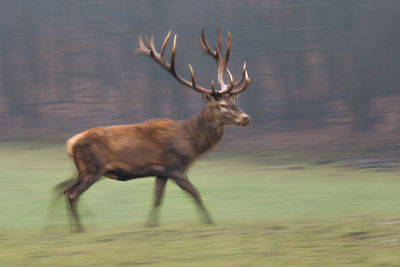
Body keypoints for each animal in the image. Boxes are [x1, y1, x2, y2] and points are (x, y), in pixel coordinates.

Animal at [54, 27, 250, 232]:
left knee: (64, 189)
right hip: (92, 168)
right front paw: (210, 222)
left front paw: (150, 226)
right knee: (72, 193)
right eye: (222, 105)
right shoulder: (175, 167)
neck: (192, 141)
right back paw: (79, 229)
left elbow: (157, 199)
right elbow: (195, 194)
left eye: (234, 103)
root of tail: (71, 143)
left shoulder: (161, 172)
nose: (246, 118)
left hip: (83, 170)